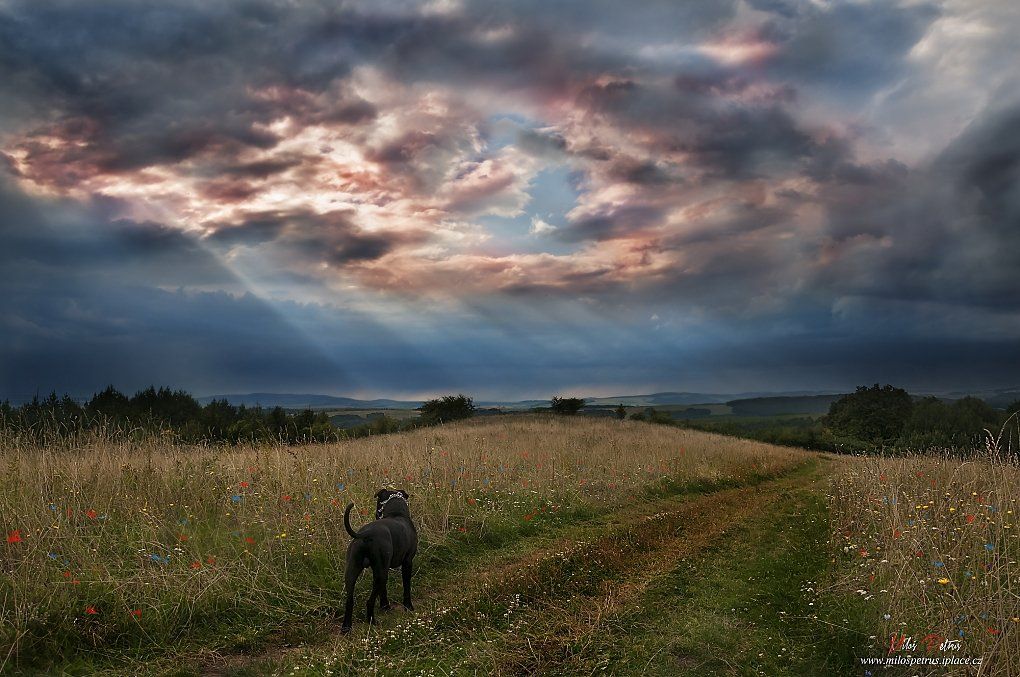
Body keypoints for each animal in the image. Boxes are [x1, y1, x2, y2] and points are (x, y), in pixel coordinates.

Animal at [340, 489, 416, 632]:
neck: (396, 513)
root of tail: (365, 534)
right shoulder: (407, 562)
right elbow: (406, 586)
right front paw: (408, 606)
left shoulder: (383, 567)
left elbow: (383, 590)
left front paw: (385, 607)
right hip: (381, 573)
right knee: (369, 601)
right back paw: (372, 621)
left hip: (353, 570)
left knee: (349, 600)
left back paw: (346, 627)